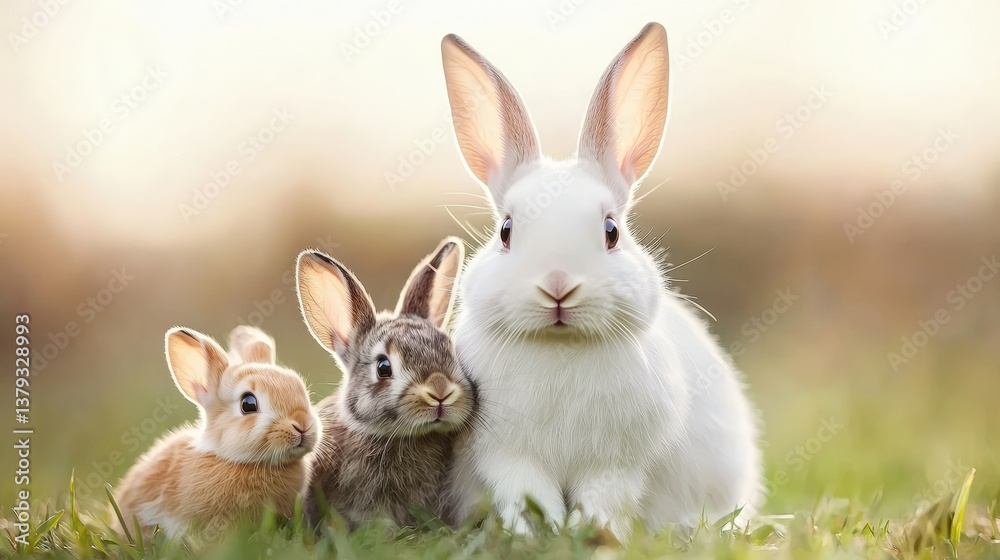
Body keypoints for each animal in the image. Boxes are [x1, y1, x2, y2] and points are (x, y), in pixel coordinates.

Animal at [440, 22, 762, 539]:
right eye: (506, 231)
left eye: (611, 231)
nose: (557, 285)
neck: (561, 346)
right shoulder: (508, 457)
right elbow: (526, 493)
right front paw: (535, 534)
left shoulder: (618, 465)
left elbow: (604, 497)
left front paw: (588, 531)